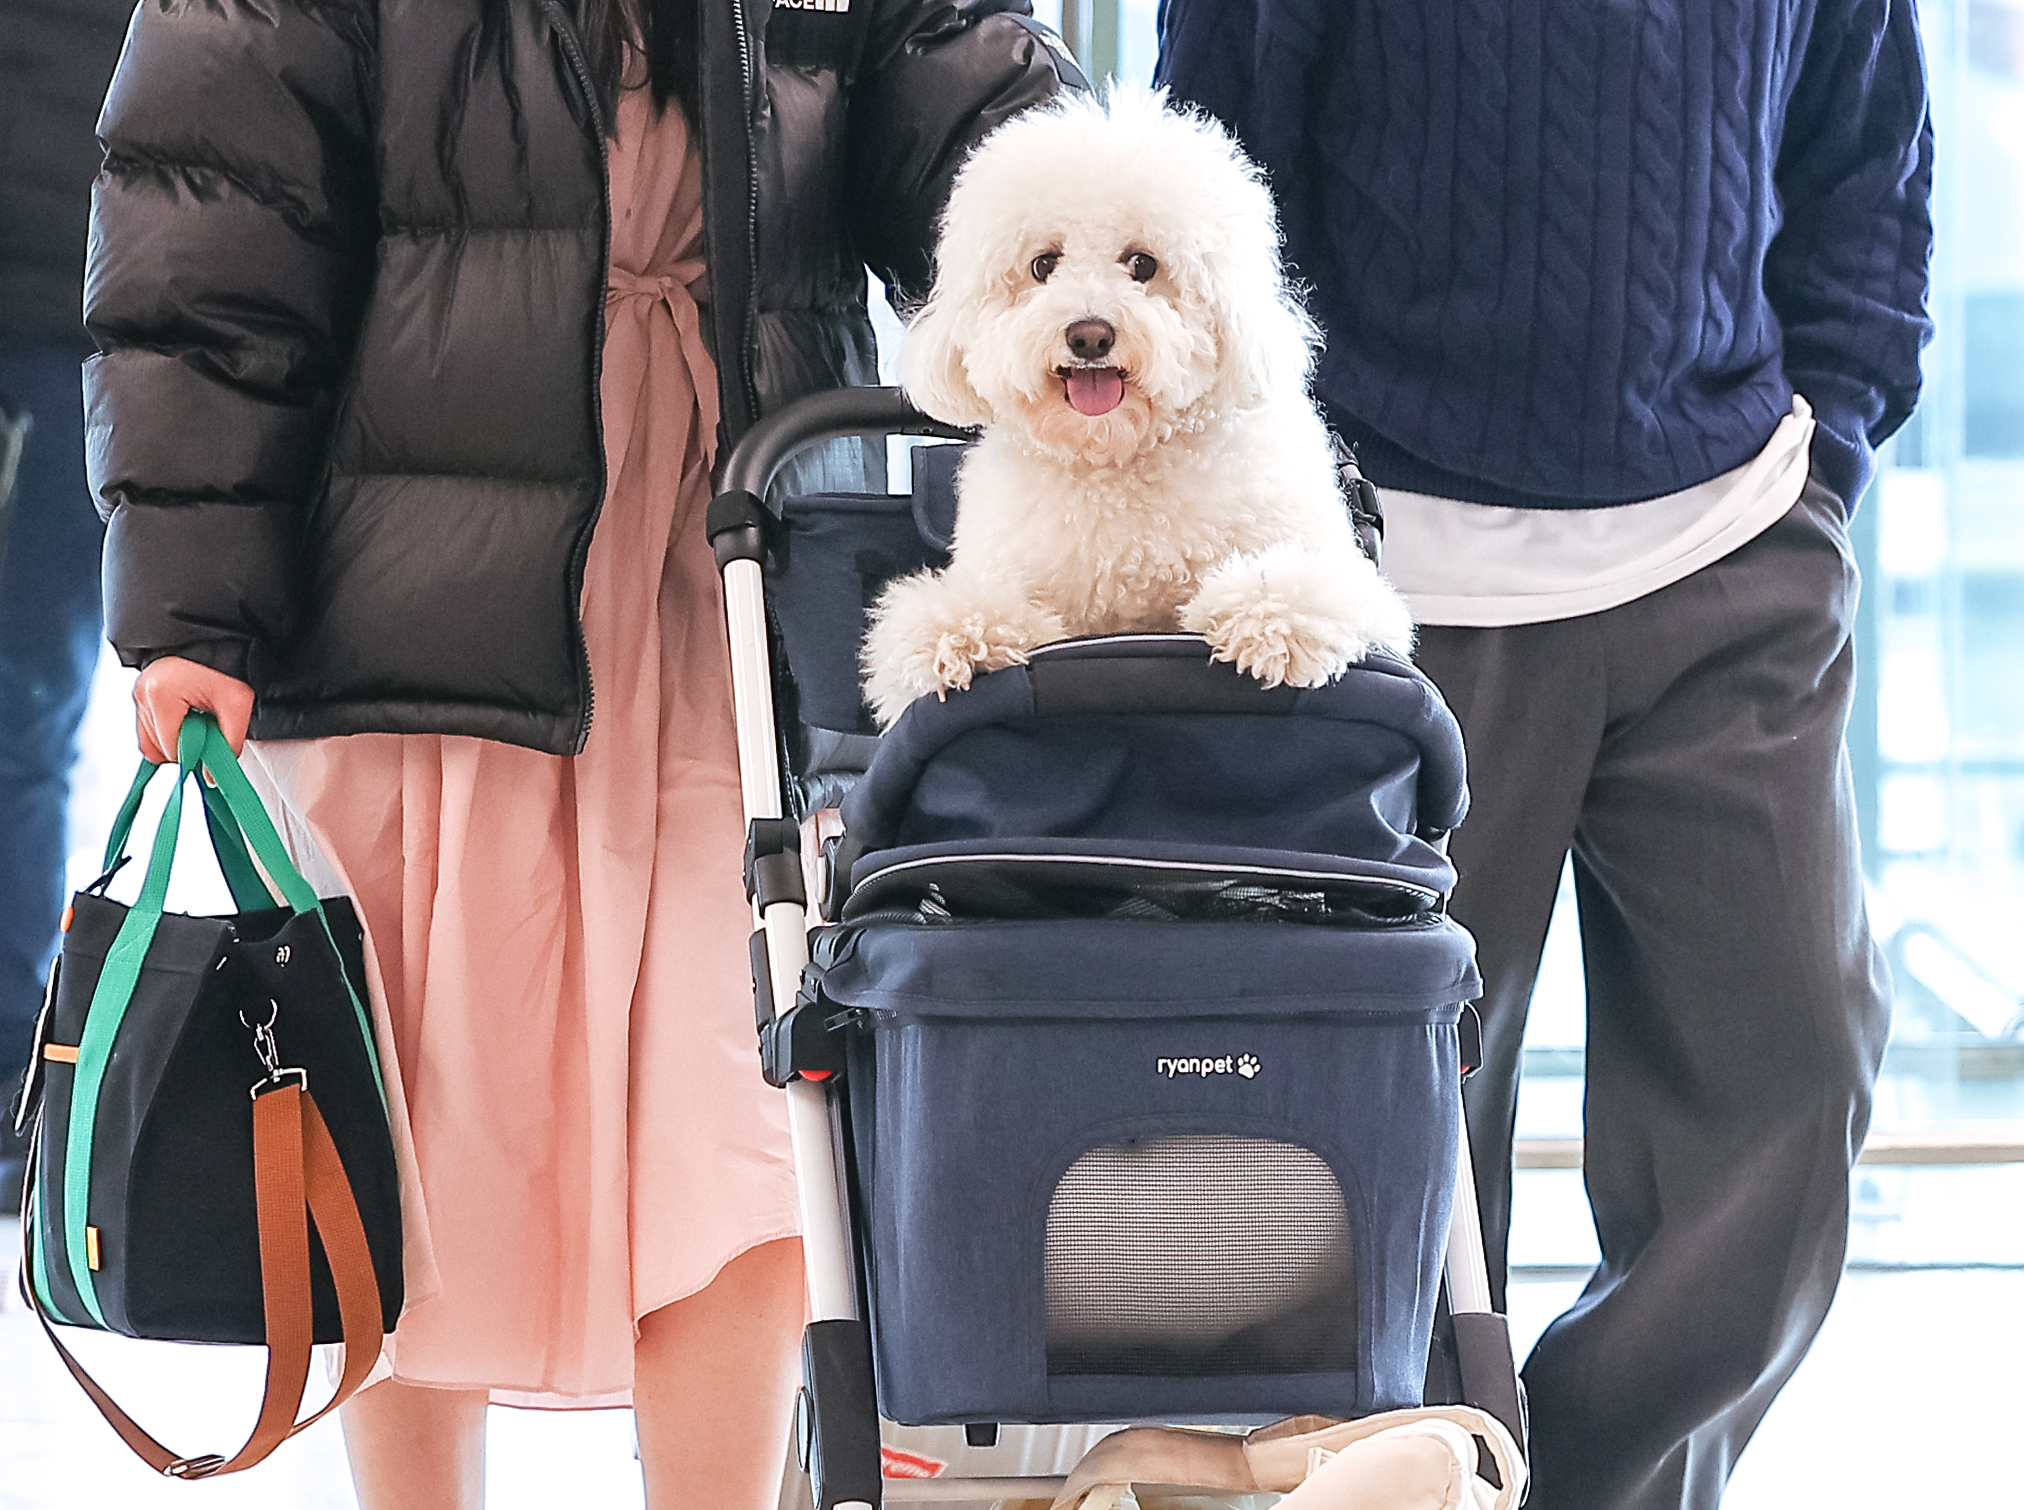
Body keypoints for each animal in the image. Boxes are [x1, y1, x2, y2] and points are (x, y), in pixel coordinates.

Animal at [862, 85, 1416, 724]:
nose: (1088, 335)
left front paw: (1267, 622)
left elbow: (1304, 588)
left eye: (1142, 264)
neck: (1120, 460)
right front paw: (956, 639)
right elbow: (954, 616)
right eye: (1043, 265)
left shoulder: (1353, 588)